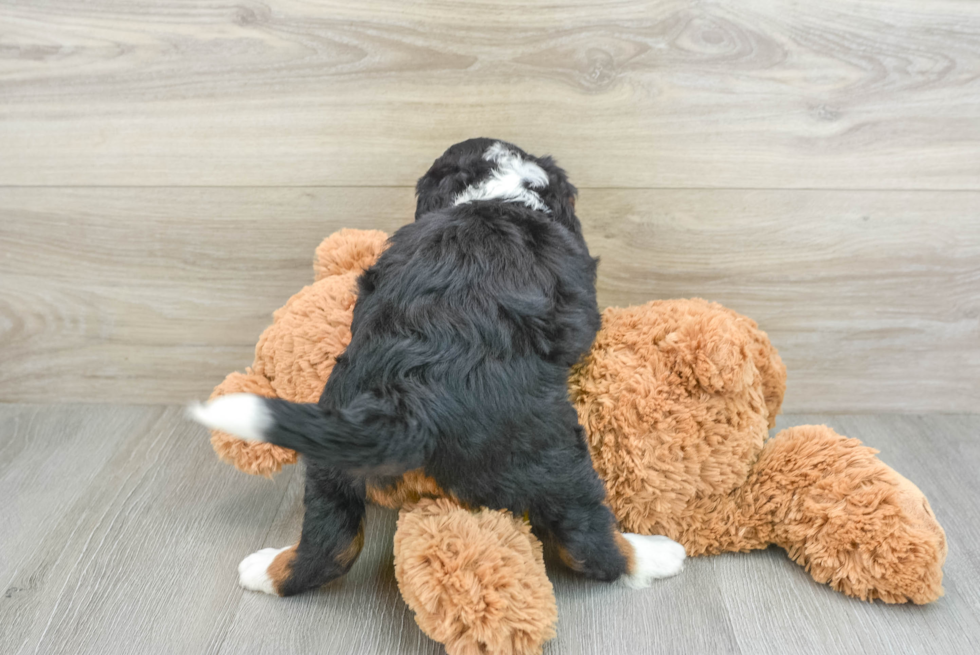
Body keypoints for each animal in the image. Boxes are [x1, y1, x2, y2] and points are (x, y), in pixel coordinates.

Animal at [189, 140, 680, 600]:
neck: (493, 193)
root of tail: (408, 407)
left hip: (330, 464)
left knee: (329, 548)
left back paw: (264, 570)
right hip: (550, 456)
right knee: (586, 540)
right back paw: (656, 554)